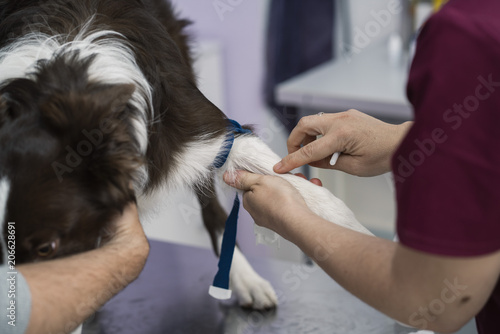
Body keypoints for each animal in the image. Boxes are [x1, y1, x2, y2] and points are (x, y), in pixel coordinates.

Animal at [0, 0, 370, 310]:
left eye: (46, 248)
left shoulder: (207, 132)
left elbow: (311, 191)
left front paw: (358, 240)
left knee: (213, 210)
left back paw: (243, 278)